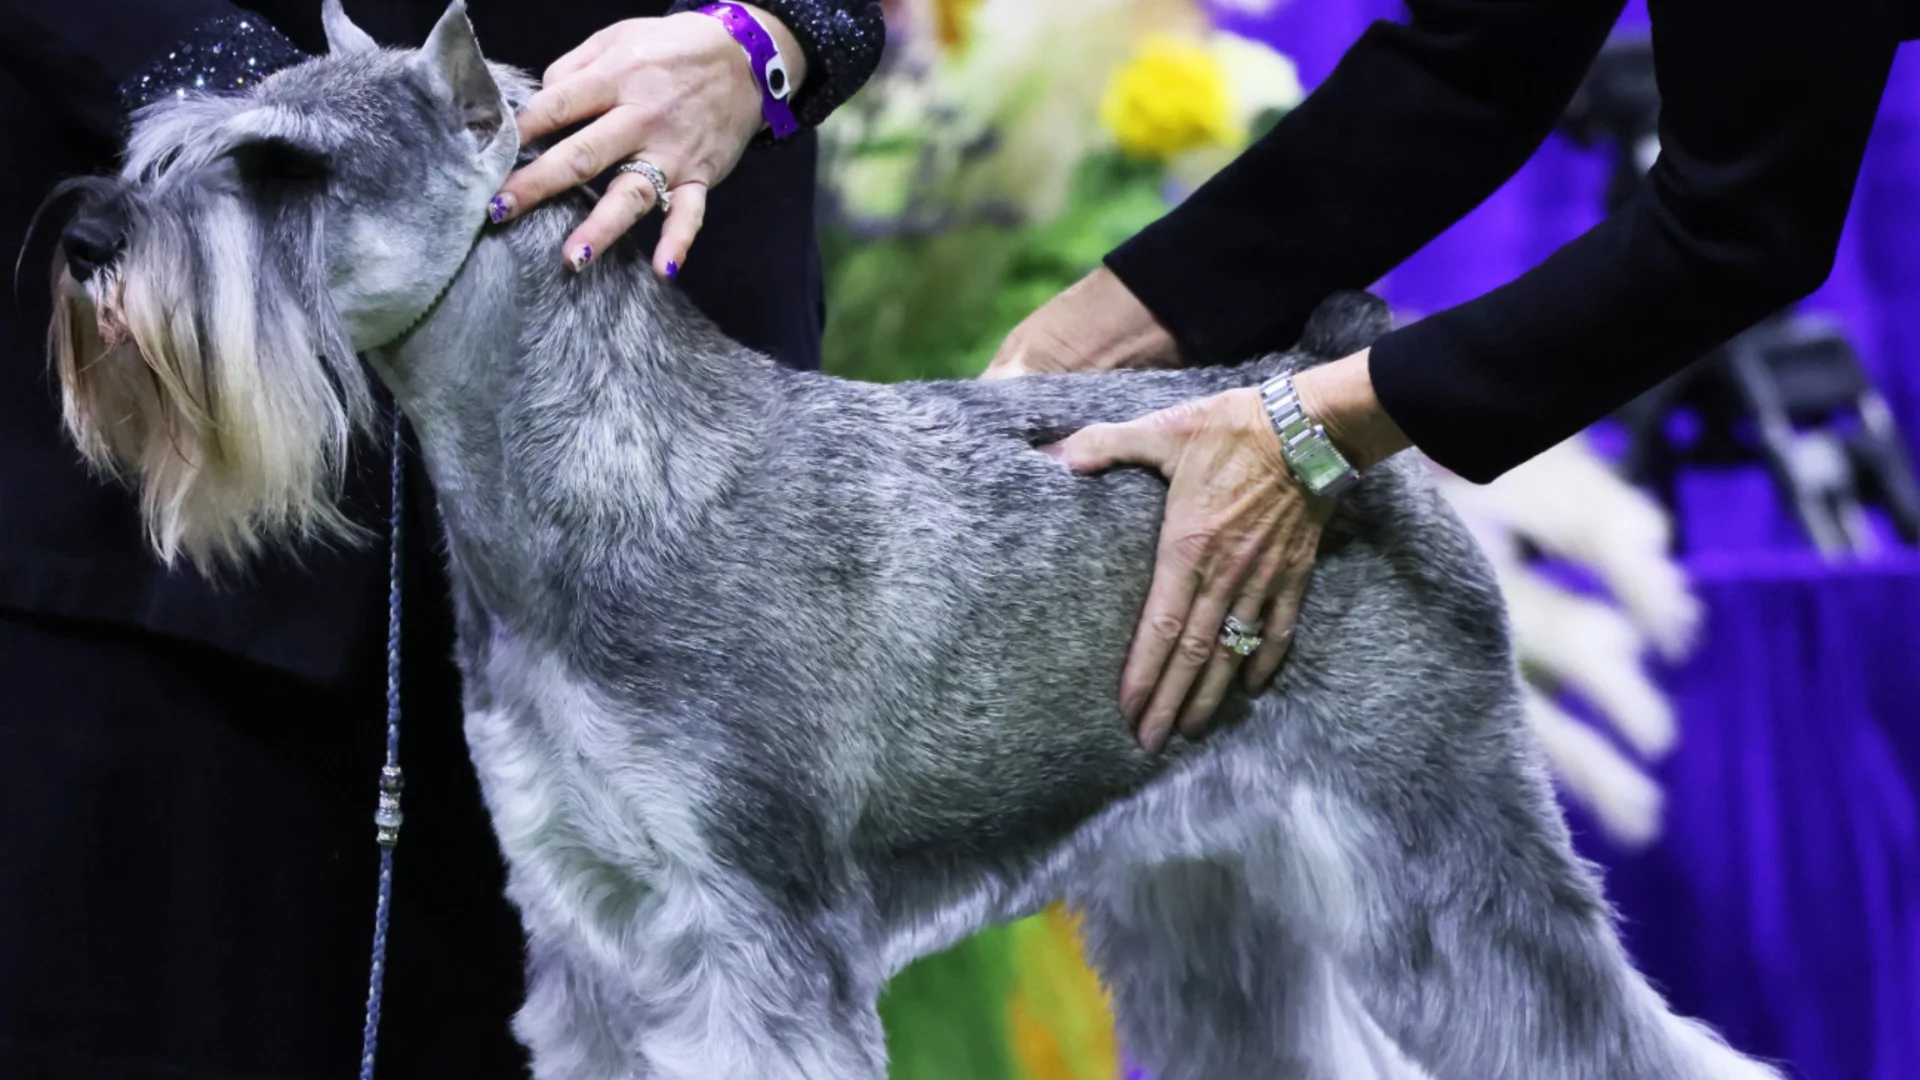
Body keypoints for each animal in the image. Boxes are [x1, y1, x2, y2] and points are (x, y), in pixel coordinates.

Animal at [52, 2, 1789, 1076]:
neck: (585, 472)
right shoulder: (594, 943)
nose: (81, 236)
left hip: (1447, 855)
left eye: (287, 169)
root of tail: (1315, 391)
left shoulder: (760, 945)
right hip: (1212, 893)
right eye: (175, 135)